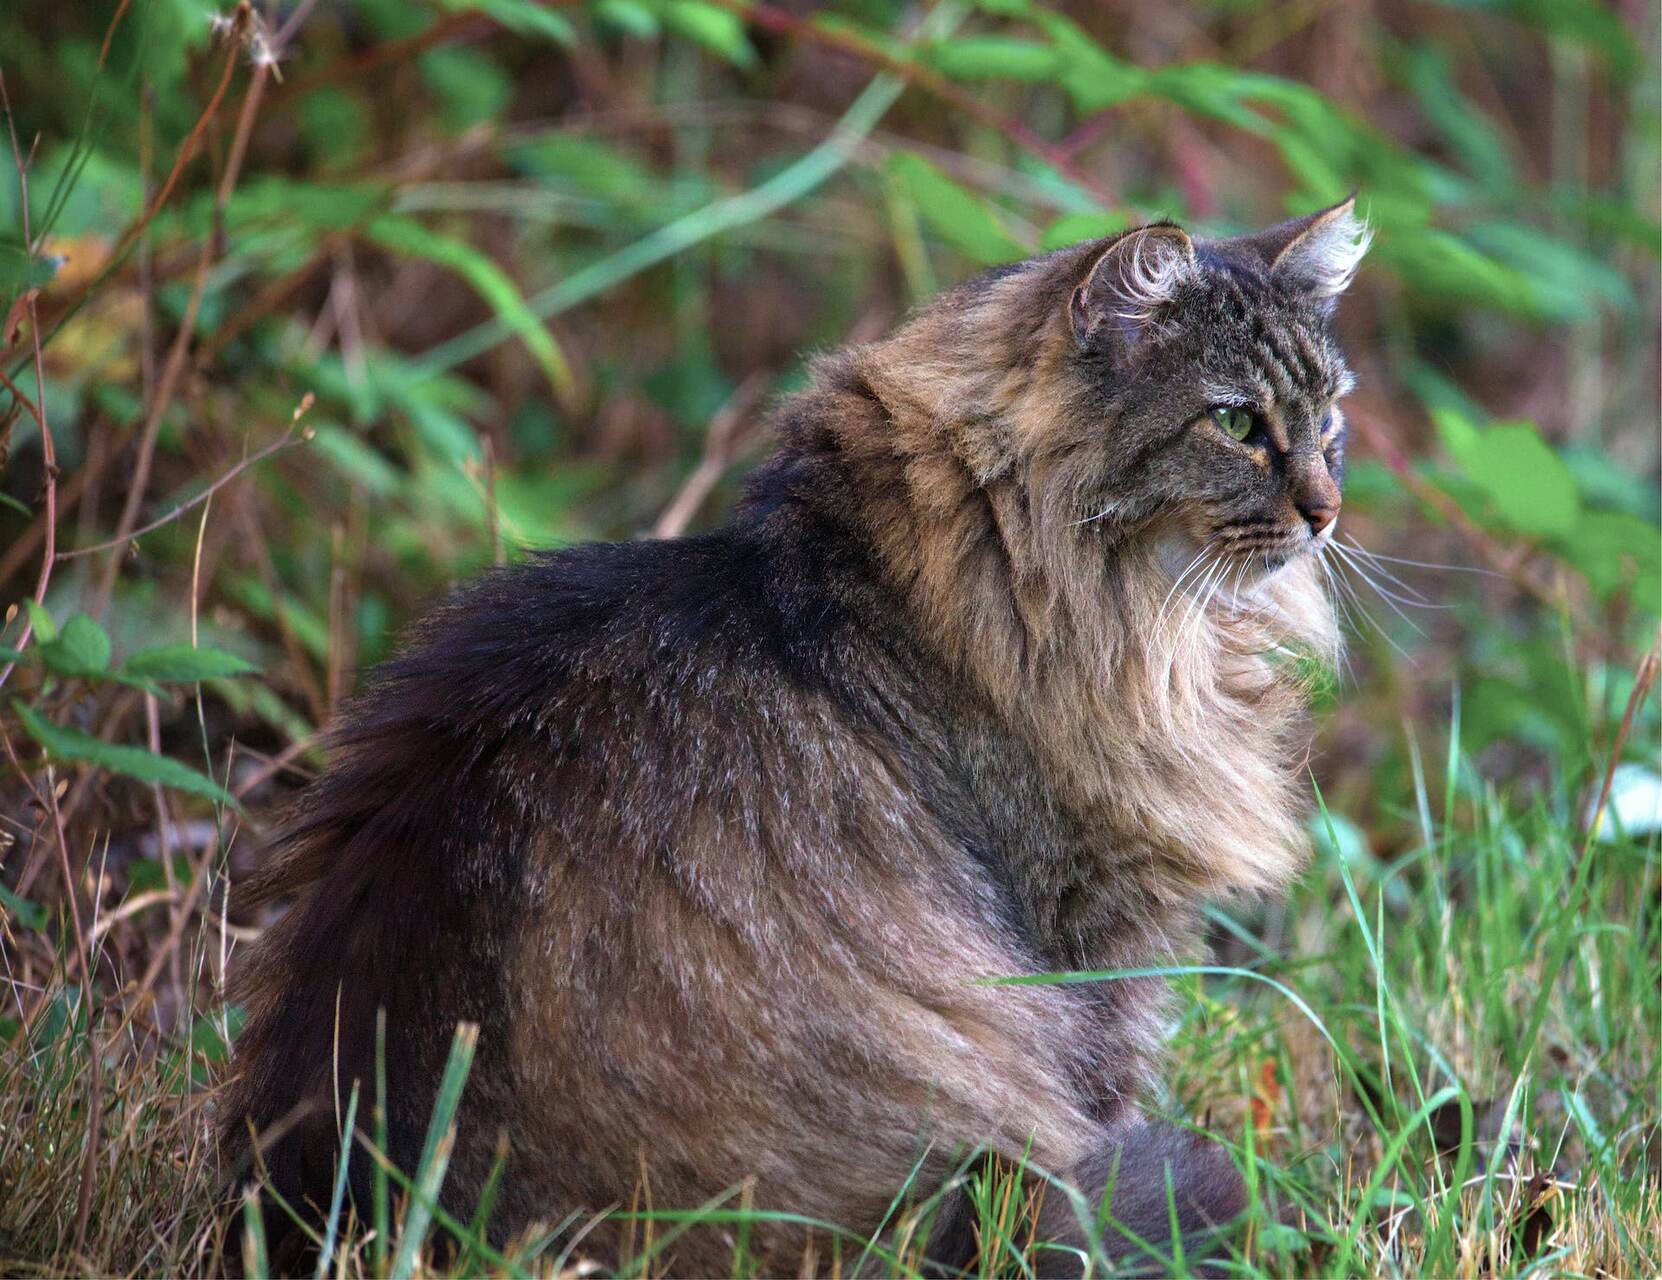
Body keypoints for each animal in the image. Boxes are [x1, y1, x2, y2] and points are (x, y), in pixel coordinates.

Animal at [217, 194, 1362, 1270]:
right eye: (1237, 423)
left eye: (1329, 423)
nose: (1326, 510)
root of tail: (347, 1195)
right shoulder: (1089, 940)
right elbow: (1102, 1107)